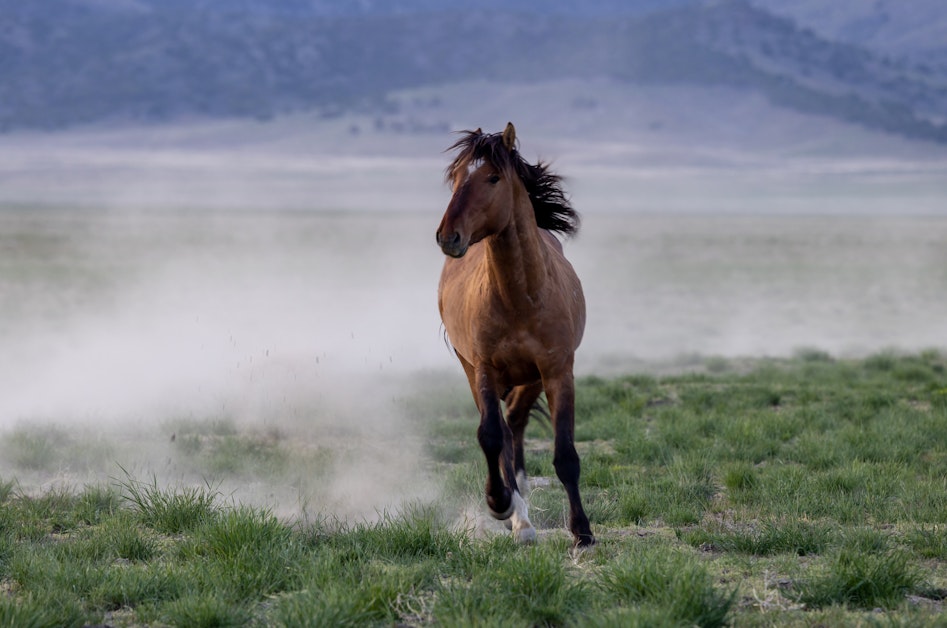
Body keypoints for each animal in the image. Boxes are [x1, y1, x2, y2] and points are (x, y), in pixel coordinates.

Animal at [436, 122, 592, 548]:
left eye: (493, 177)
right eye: (456, 177)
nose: (448, 236)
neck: (520, 296)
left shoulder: (557, 371)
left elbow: (565, 454)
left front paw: (583, 531)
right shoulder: (484, 369)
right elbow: (491, 436)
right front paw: (500, 504)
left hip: (532, 378)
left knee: (517, 423)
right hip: (473, 370)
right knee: (505, 433)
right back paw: (518, 518)